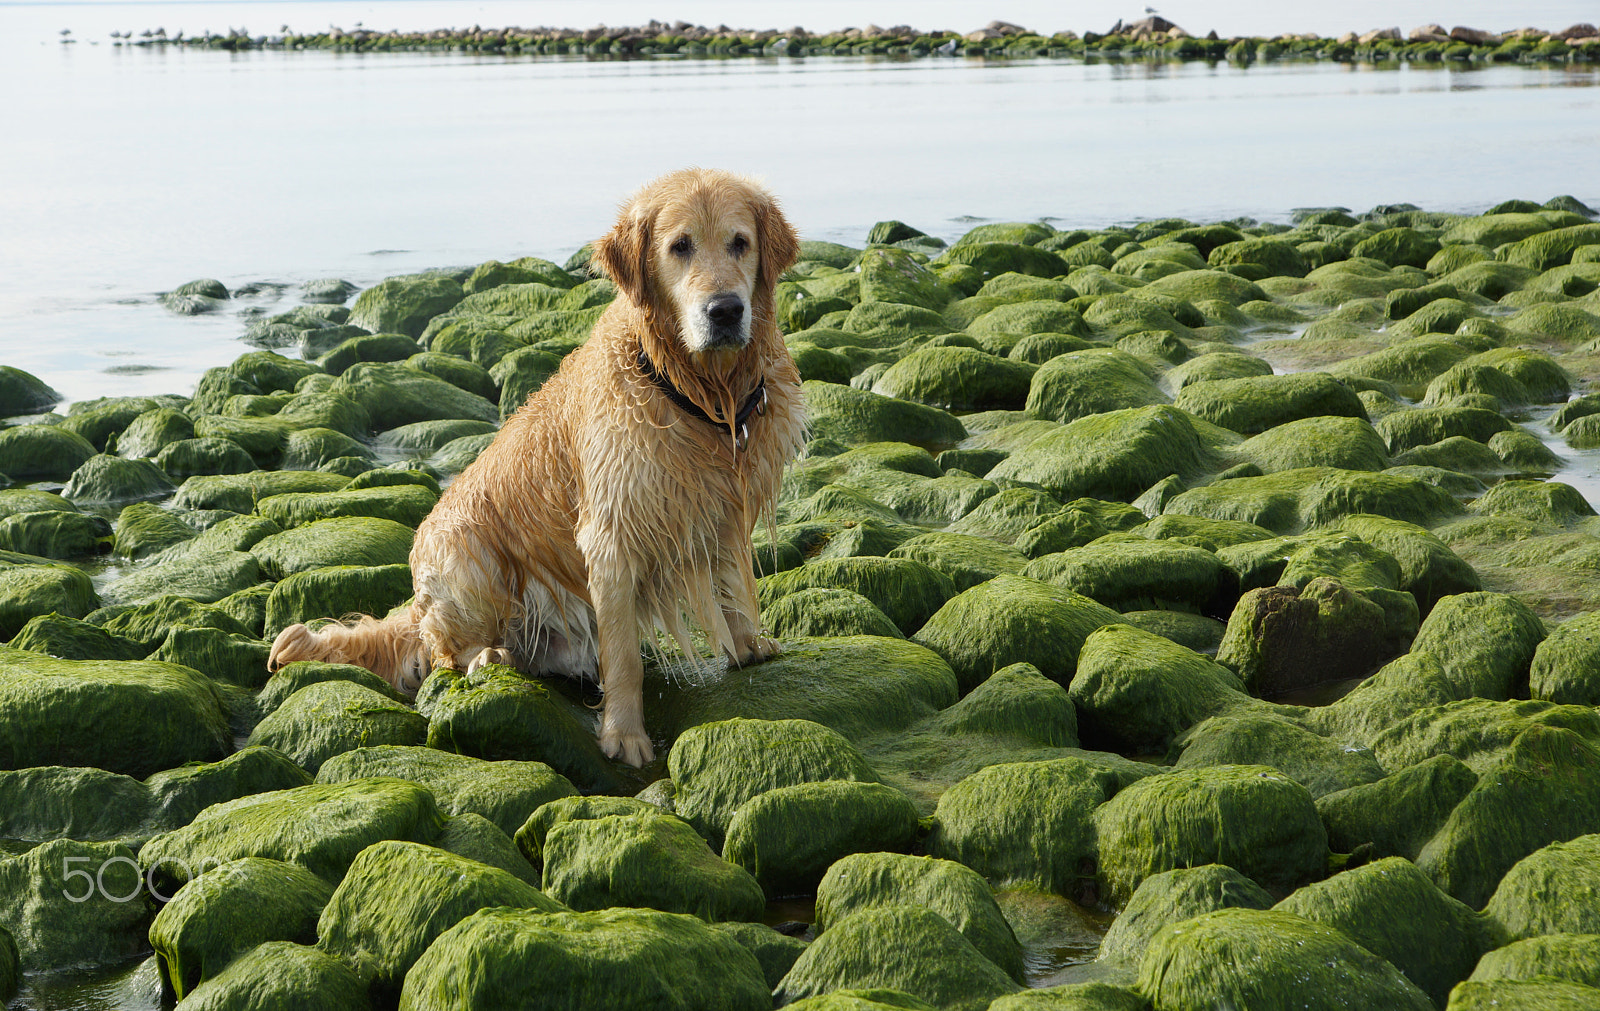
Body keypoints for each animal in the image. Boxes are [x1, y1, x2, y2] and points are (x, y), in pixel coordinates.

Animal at [270, 167, 812, 764]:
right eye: (680, 247)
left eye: (740, 242)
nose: (725, 311)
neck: (696, 392)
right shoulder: (612, 535)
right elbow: (624, 657)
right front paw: (625, 734)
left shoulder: (722, 505)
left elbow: (735, 587)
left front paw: (747, 646)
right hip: (469, 555)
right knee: (442, 653)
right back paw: (490, 657)